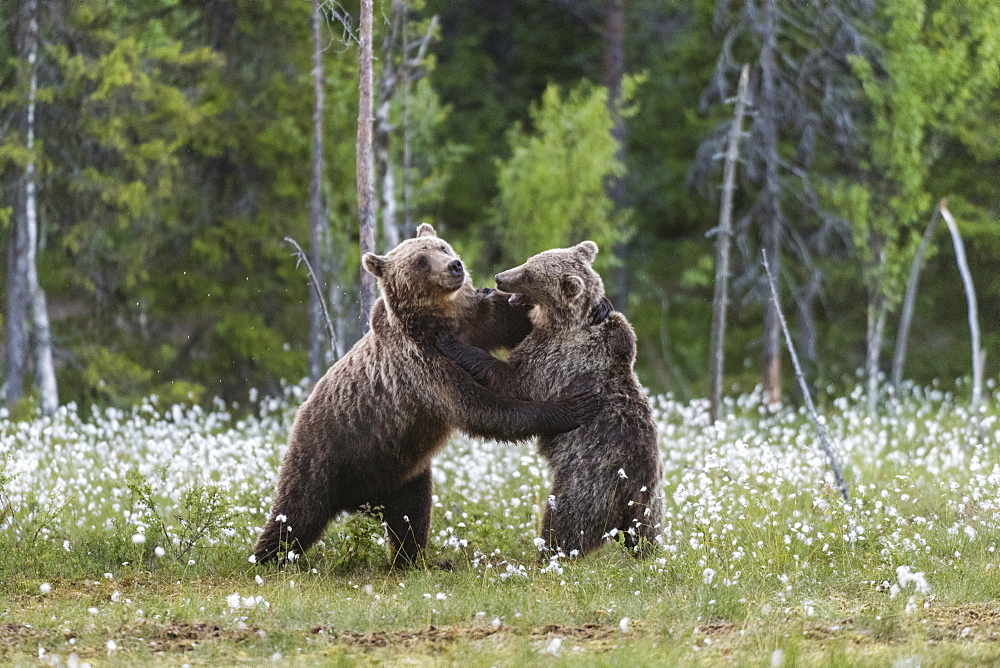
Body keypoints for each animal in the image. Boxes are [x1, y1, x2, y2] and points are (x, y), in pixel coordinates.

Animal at [254, 226, 596, 568]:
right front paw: (570, 406)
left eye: (442, 247)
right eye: (420, 260)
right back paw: (265, 557)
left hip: (403, 473)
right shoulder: (423, 366)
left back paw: (414, 560)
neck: (441, 320)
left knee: (411, 516)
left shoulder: (476, 323)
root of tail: (360, 503)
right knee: (296, 515)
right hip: (325, 455)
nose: (455, 266)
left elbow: (511, 319)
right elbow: (482, 409)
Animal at [438, 240, 664, 560]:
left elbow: (512, 381)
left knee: (566, 521)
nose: (499, 278)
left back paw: (549, 554)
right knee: (647, 533)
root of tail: (634, 482)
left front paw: (452, 342)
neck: (561, 323)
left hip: (589, 480)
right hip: (652, 502)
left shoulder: (555, 360)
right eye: (528, 261)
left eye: (530, 274)